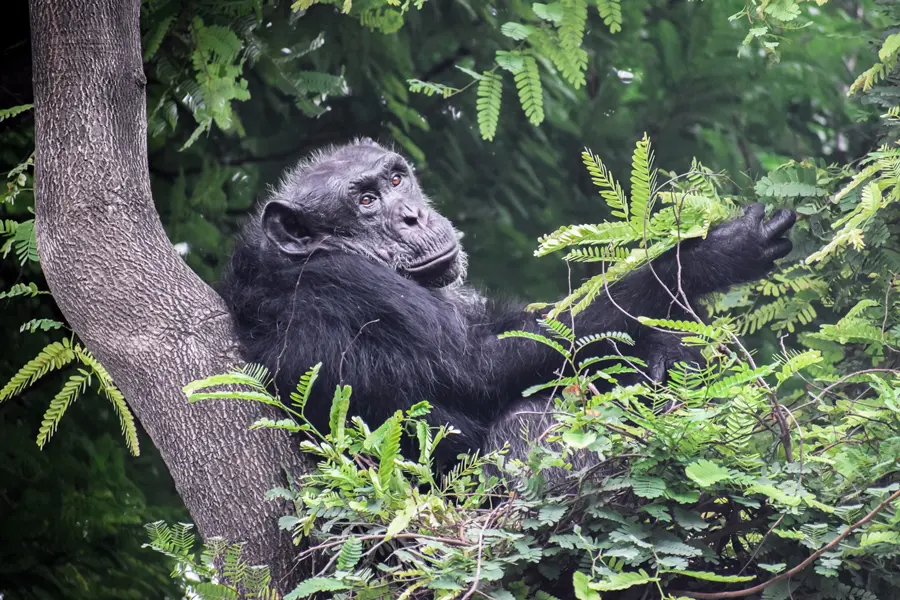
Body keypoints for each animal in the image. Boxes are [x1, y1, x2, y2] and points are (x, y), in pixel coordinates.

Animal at [220, 141, 796, 468]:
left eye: (396, 179)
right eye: (365, 202)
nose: (411, 215)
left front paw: (667, 349)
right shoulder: (346, 283)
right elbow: (477, 364)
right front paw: (712, 254)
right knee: (528, 412)